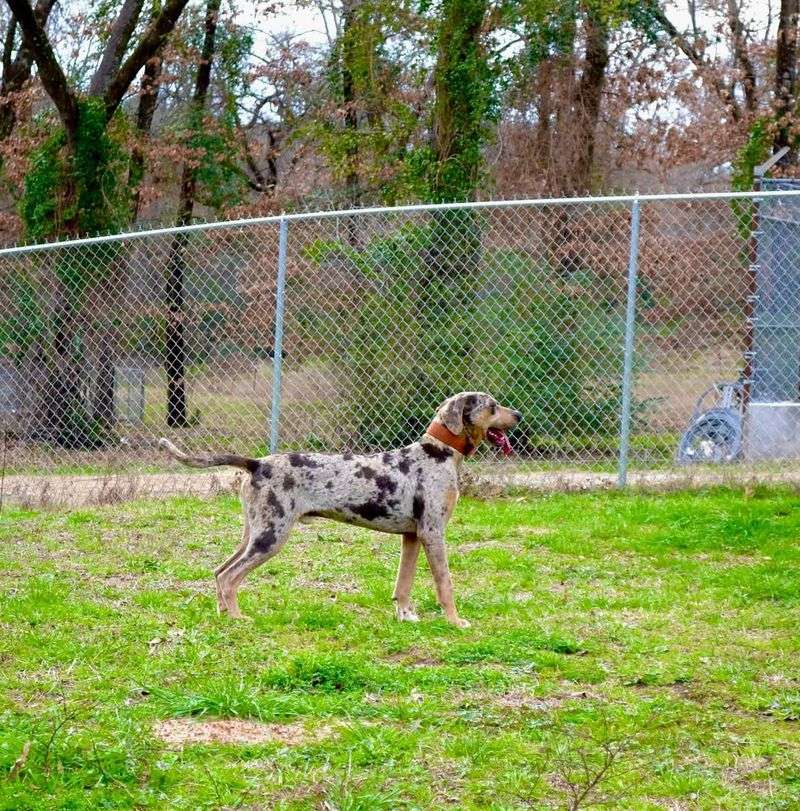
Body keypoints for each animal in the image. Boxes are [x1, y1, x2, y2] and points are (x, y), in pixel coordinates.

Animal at [159, 394, 520, 628]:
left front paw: (406, 617)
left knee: (220, 571)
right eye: (492, 407)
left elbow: (403, 585)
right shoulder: (433, 533)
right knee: (230, 577)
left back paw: (224, 615)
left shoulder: (412, 536)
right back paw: (237, 618)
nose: (518, 415)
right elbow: (445, 585)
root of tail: (257, 463)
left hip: (255, 532)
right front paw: (455, 621)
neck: (439, 452)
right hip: (271, 537)